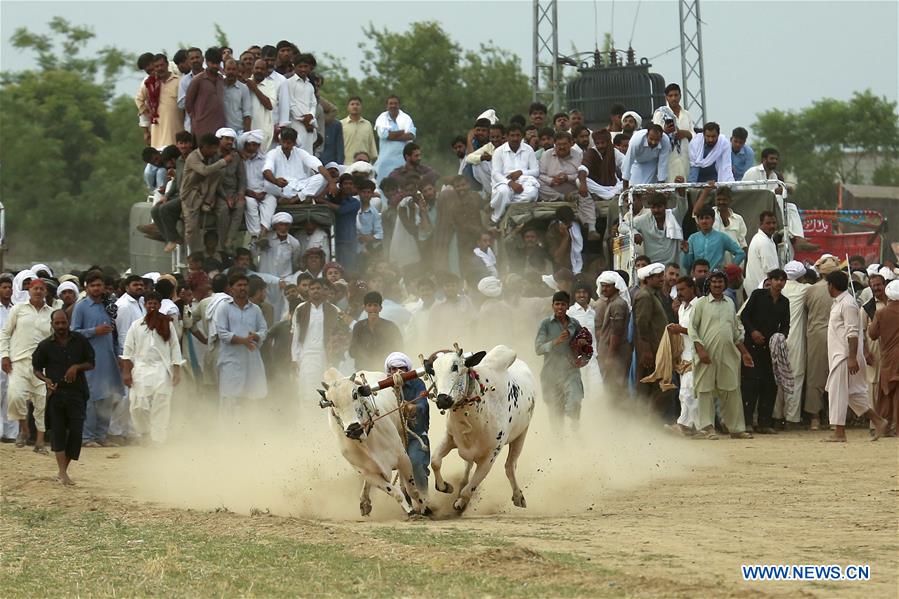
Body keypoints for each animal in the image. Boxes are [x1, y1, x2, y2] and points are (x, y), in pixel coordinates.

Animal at [320, 368, 426, 516]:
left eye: (355, 394)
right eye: (331, 403)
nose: (354, 429)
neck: (366, 442)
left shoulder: (402, 458)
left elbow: (413, 490)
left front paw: (424, 509)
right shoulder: (368, 473)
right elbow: (394, 493)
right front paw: (409, 510)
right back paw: (365, 501)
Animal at [428, 344, 536, 512]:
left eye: (455, 366)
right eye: (433, 371)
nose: (443, 399)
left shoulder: (490, 456)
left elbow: (469, 489)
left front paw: (461, 501)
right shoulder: (450, 437)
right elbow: (435, 461)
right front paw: (445, 486)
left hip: (521, 434)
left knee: (510, 466)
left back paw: (518, 496)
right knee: (468, 467)